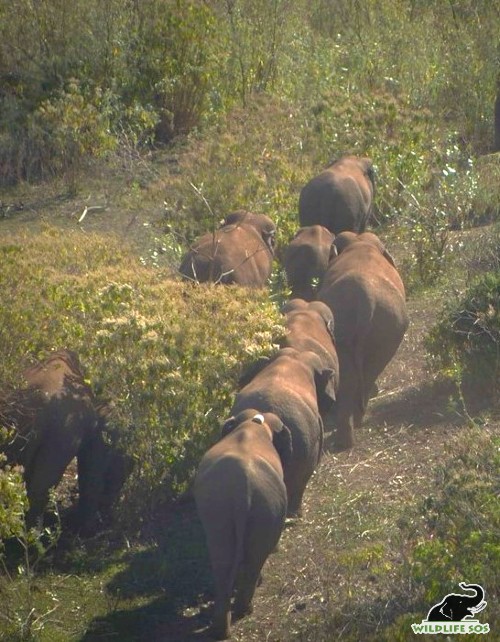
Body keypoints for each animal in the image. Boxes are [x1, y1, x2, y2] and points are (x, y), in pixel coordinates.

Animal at [193, 408, 292, 636]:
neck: (254, 424)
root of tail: (242, 488)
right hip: (265, 507)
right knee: (253, 557)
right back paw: (242, 611)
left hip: (229, 508)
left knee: (226, 560)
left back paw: (224, 626)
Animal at [318, 231, 408, 450]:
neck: (360, 244)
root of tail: (365, 299)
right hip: (387, 328)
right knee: (368, 373)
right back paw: (353, 428)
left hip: (349, 326)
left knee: (351, 377)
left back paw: (347, 436)